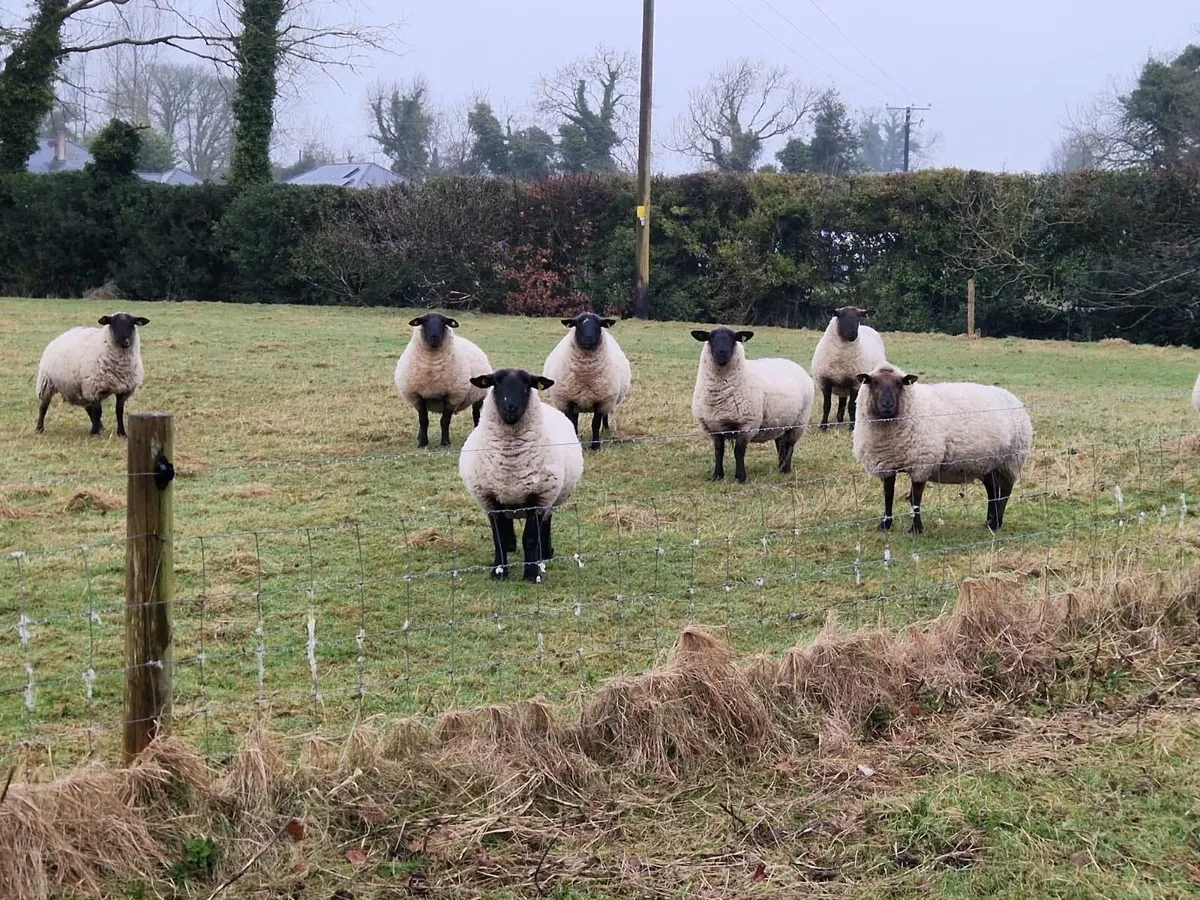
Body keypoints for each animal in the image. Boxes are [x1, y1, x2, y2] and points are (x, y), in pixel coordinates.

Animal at [393, 312, 492, 448]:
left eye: (443, 322)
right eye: (424, 321)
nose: (434, 337)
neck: (432, 368)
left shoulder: (452, 396)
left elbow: (444, 421)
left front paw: (445, 442)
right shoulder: (417, 396)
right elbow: (423, 420)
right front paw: (423, 443)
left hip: (479, 396)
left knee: (476, 415)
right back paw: (419, 436)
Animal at [458, 368, 584, 583]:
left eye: (527, 385)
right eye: (495, 383)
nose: (510, 407)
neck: (511, 461)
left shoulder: (540, 497)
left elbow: (531, 538)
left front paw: (532, 573)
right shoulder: (490, 499)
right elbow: (498, 537)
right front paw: (499, 571)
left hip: (552, 497)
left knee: (546, 524)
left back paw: (545, 553)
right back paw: (512, 546)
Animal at [541, 312, 632, 450]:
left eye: (598, 324)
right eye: (578, 323)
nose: (588, 338)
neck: (586, 373)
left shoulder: (602, 401)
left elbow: (595, 424)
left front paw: (595, 446)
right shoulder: (568, 401)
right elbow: (573, 423)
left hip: (609, 399)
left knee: (605, 416)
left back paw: (605, 429)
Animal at [690, 327, 815, 483]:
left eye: (734, 338)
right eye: (711, 337)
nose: (722, 353)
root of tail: (793, 364)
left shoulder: (746, 425)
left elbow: (739, 452)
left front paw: (740, 477)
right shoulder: (713, 427)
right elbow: (719, 451)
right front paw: (717, 476)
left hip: (799, 422)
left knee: (790, 446)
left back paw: (786, 469)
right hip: (782, 421)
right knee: (781, 444)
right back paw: (780, 467)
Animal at [852, 362, 1033, 535]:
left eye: (899, 384)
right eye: (873, 382)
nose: (887, 405)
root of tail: (1013, 398)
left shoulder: (922, 463)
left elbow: (915, 499)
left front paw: (916, 529)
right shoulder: (887, 465)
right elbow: (888, 496)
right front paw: (885, 525)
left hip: (1011, 460)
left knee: (1006, 491)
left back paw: (996, 523)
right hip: (987, 462)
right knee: (993, 490)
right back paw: (989, 521)